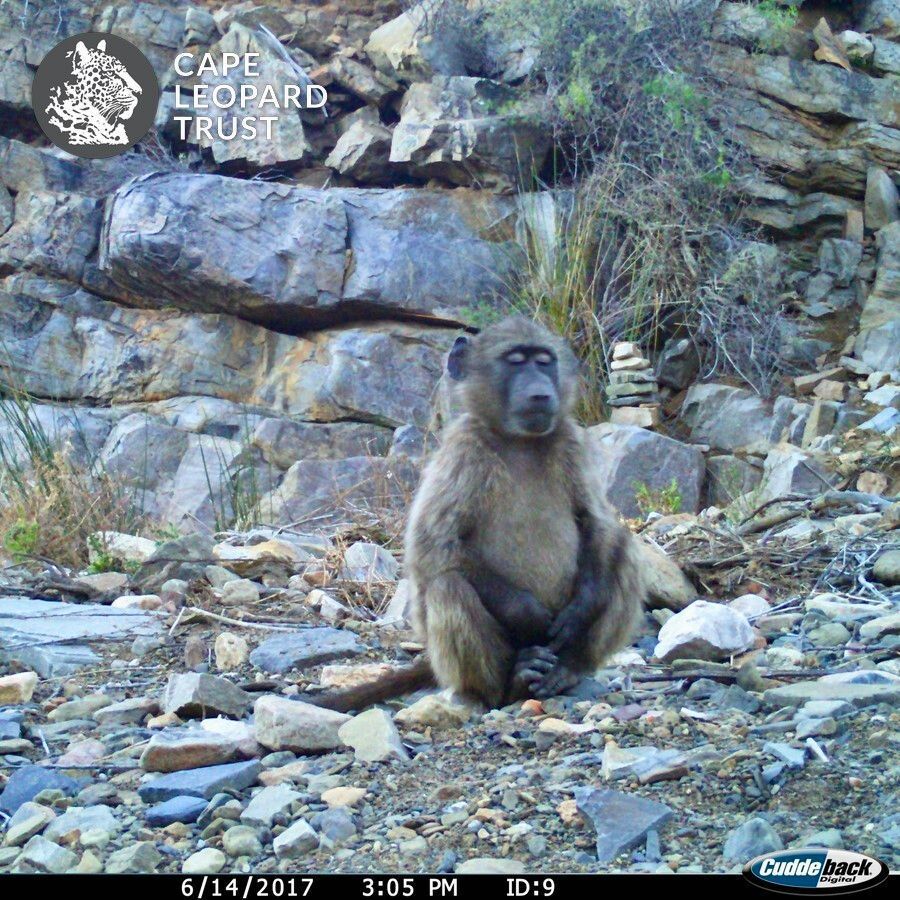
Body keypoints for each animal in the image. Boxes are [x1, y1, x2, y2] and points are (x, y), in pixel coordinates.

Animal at [311, 317, 644, 713]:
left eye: (544, 361)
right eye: (516, 361)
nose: (540, 393)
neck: (520, 441)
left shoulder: (571, 441)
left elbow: (597, 522)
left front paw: (581, 607)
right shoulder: (463, 449)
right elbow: (434, 547)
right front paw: (529, 615)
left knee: (624, 554)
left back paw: (568, 668)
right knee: (447, 587)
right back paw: (511, 682)